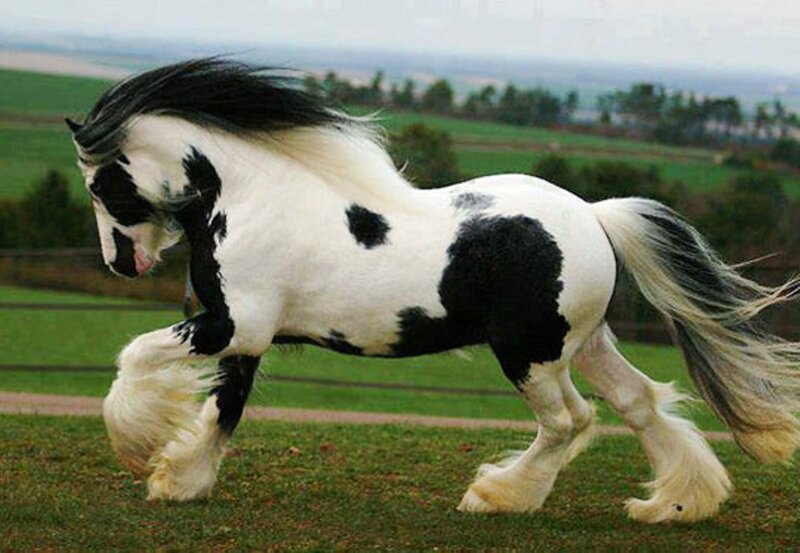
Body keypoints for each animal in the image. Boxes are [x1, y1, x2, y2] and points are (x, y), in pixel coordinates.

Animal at [65, 59, 800, 523]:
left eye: (100, 184)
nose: (121, 263)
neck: (252, 197)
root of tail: (595, 216)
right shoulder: (248, 334)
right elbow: (224, 410)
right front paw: (180, 480)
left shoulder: (232, 324)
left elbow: (136, 356)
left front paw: (139, 448)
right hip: (585, 342)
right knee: (639, 402)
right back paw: (674, 504)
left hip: (531, 353)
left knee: (571, 421)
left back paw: (497, 496)